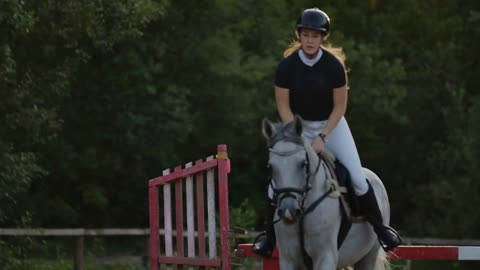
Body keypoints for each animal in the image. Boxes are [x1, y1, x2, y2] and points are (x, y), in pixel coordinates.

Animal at [262, 116, 390, 270]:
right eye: (270, 166)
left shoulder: (325, 257)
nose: (289, 212)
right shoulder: (288, 259)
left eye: (303, 163)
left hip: (369, 255)